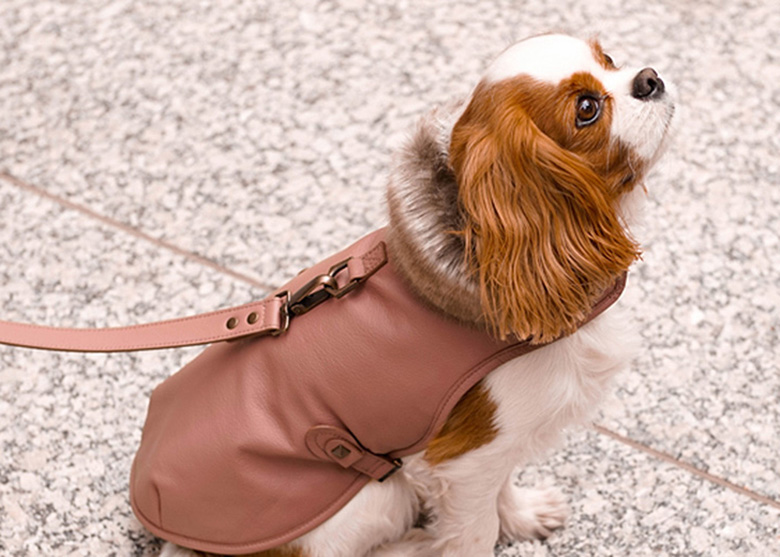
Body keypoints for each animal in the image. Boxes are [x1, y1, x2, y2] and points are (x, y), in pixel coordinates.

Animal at [160, 34, 676, 556]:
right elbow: (475, 532)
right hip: (373, 493)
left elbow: (502, 486)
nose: (650, 78)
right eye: (587, 109)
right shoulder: (465, 457)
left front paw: (522, 516)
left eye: (608, 60)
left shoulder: (492, 442)